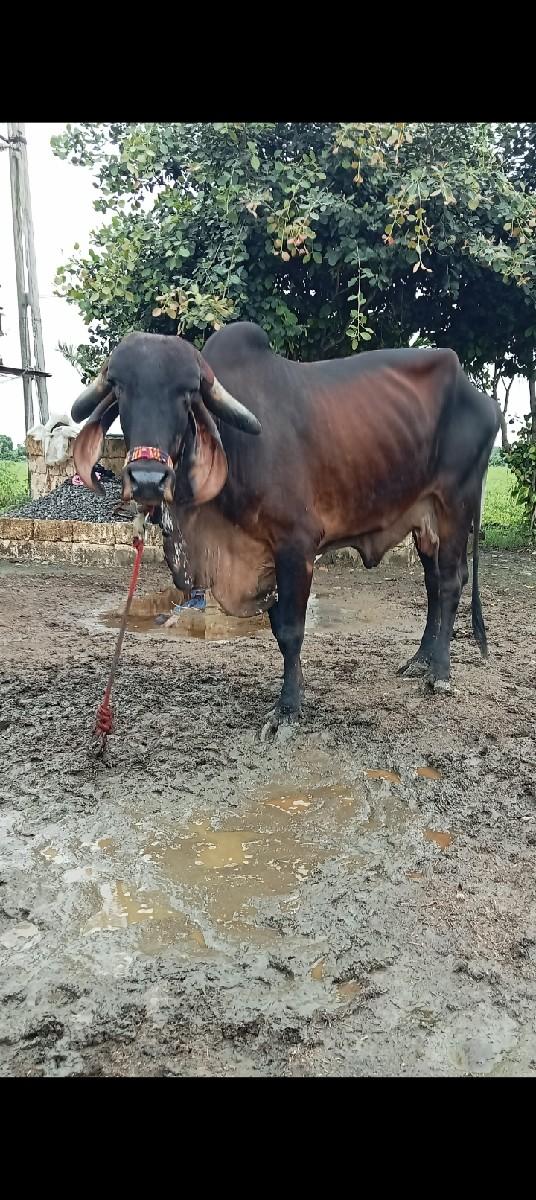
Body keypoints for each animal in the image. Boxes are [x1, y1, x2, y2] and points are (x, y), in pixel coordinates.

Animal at [71, 322, 499, 735]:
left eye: (187, 392)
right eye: (120, 388)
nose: (148, 478)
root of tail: (483, 399)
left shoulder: (296, 546)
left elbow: (292, 630)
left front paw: (288, 709)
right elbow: (278, 628)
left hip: (455, 504)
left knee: (450, 582)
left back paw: (439, 671)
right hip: (423, 519)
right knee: (432, 583)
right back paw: (420, 658)